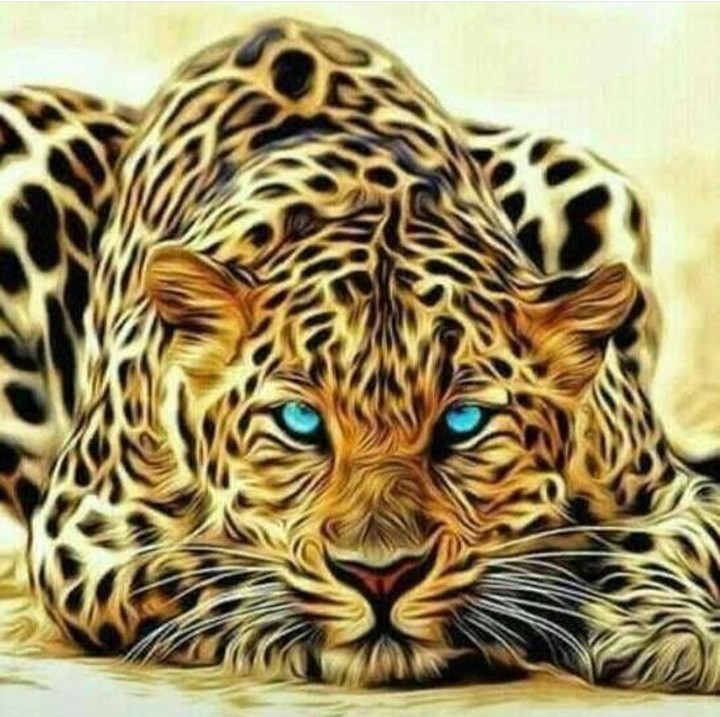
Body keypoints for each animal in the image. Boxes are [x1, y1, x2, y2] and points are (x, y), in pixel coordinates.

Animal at [0, 18, 719, 692]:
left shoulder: (672, 489)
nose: (382, 577)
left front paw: (669, 630)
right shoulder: (84, 530)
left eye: (463, 422)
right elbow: (204, 567)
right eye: (299, 423)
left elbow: (670, 538)